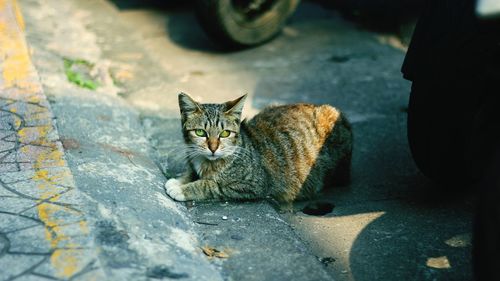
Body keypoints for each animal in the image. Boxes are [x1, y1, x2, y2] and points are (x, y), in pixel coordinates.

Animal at [164, 93, 352, 202]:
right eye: (200, 132)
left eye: (224, 133)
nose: (213, 148)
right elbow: (192, 172)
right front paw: (180, 180)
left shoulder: (253, 185)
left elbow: (210, 184)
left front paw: (182, 189)